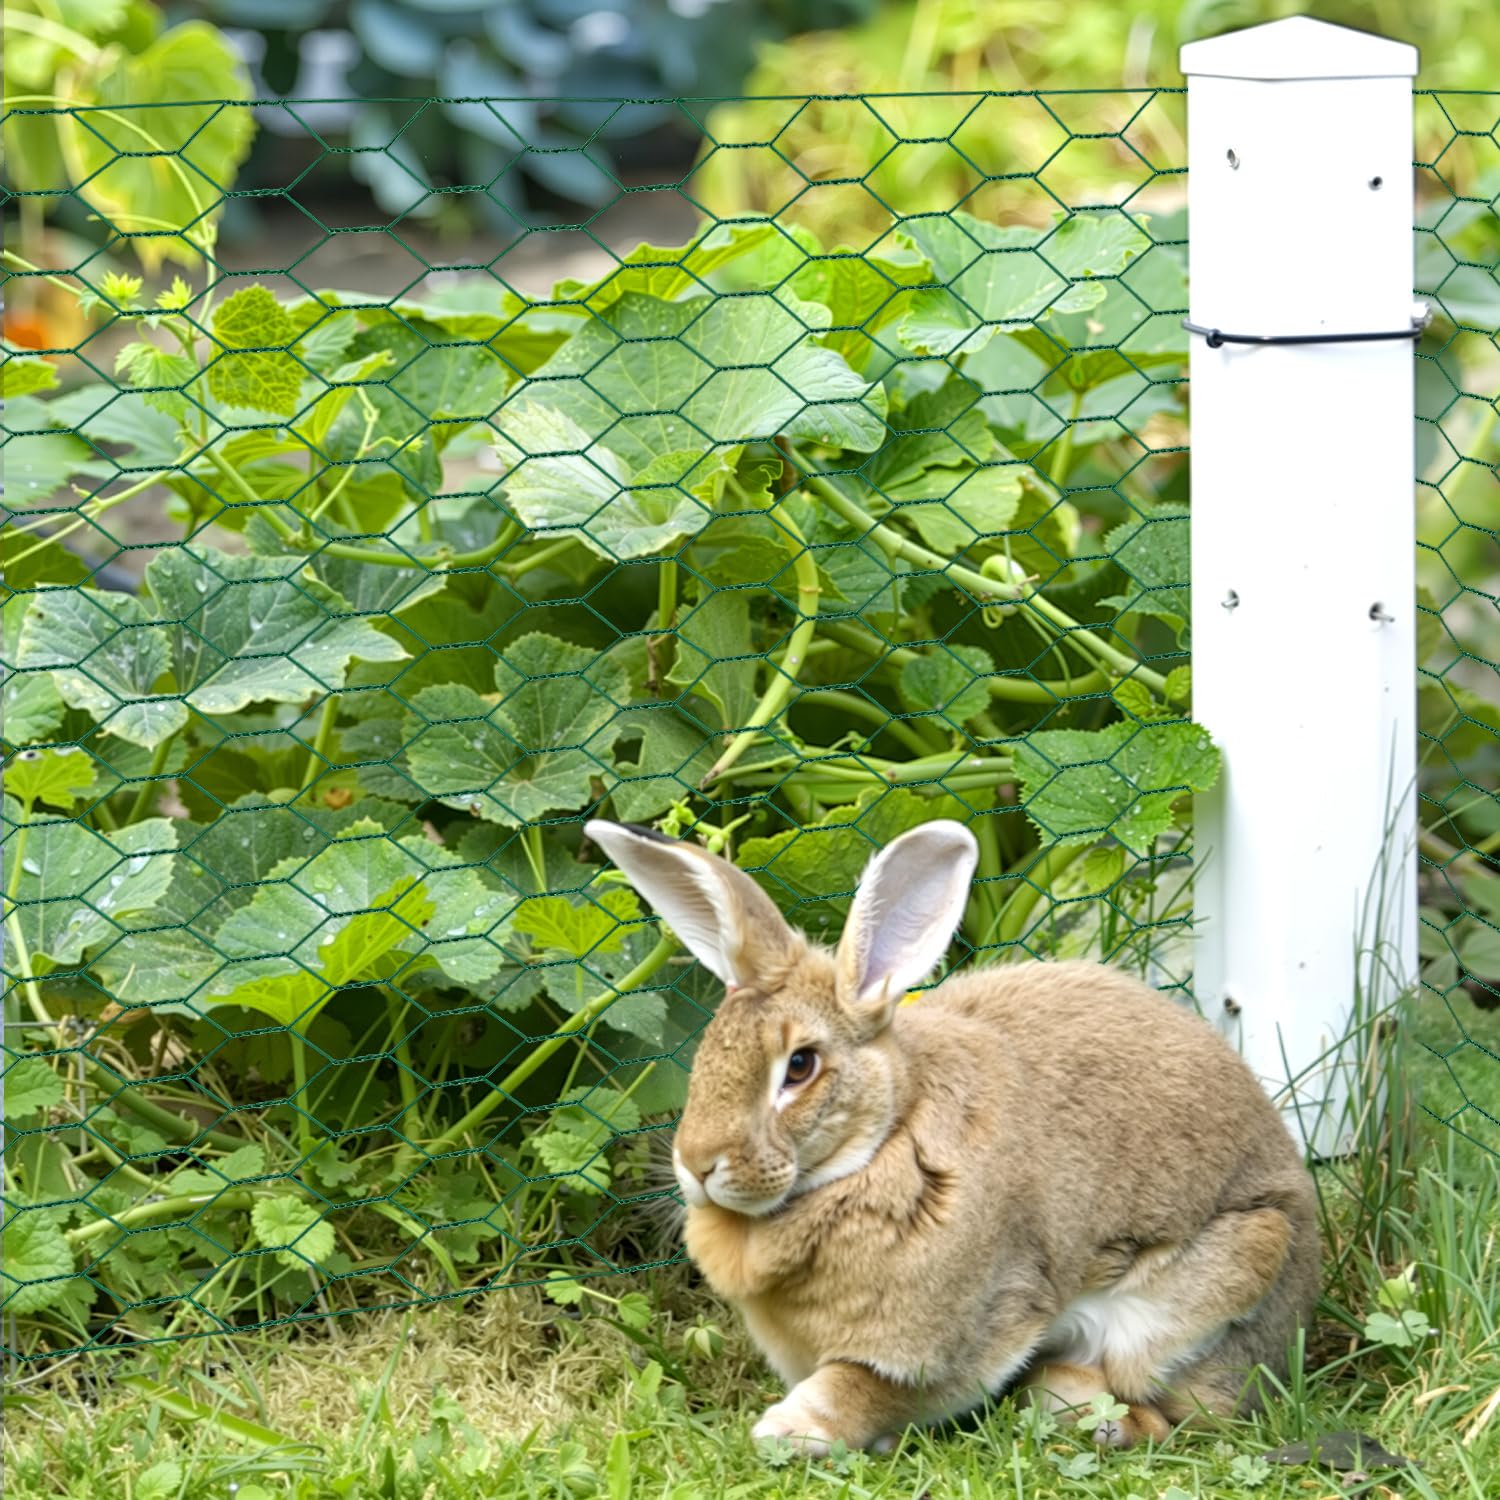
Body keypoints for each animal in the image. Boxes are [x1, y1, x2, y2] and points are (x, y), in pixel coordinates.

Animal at [584, 817, 1321, 1455]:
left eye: (799, 1067)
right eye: (708, 1052)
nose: (697, 1164)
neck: (882, 1143)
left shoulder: (964, 1331)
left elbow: (862, 1388)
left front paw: (790, 1432)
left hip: (1224, 1274)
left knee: (1180, 1412)